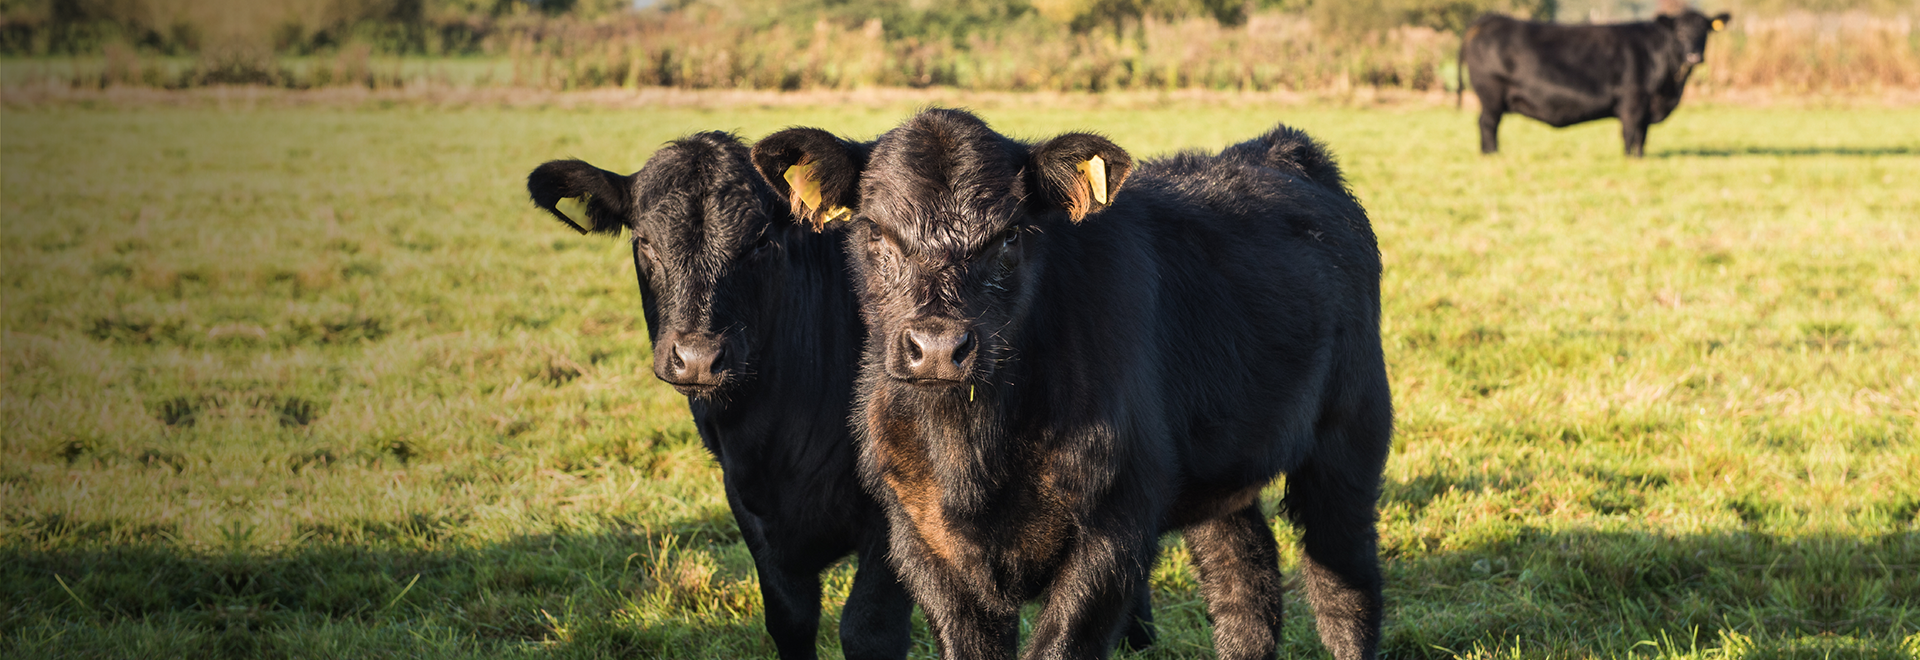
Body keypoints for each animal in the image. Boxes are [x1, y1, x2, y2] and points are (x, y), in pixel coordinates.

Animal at [526, 132, 913, 660]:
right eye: (644, 242)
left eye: (761, 242)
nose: (696, 357)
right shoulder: (748, 503)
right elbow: (791, 619)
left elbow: (868, 630)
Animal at [752, 109, 1397, 660]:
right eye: (876, 234)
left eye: (1010, 235)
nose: (938, 348)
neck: (975, 451)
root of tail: (1279, 148)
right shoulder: (921, 538)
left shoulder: (1114, 527)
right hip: (1219, 472)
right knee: (1244, 581)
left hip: (1350, 434)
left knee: (1344, 585)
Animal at [1451, 9, 1743, 156]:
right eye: (1680, 31)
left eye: (1705, 31)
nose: (1694, 55)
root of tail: (1489, 18)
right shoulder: (1633, 99)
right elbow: (1631, 132)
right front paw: (1631, 158)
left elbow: (1642, 135)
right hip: (1491, 95)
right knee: (1487, 124)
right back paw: (1491, 154)